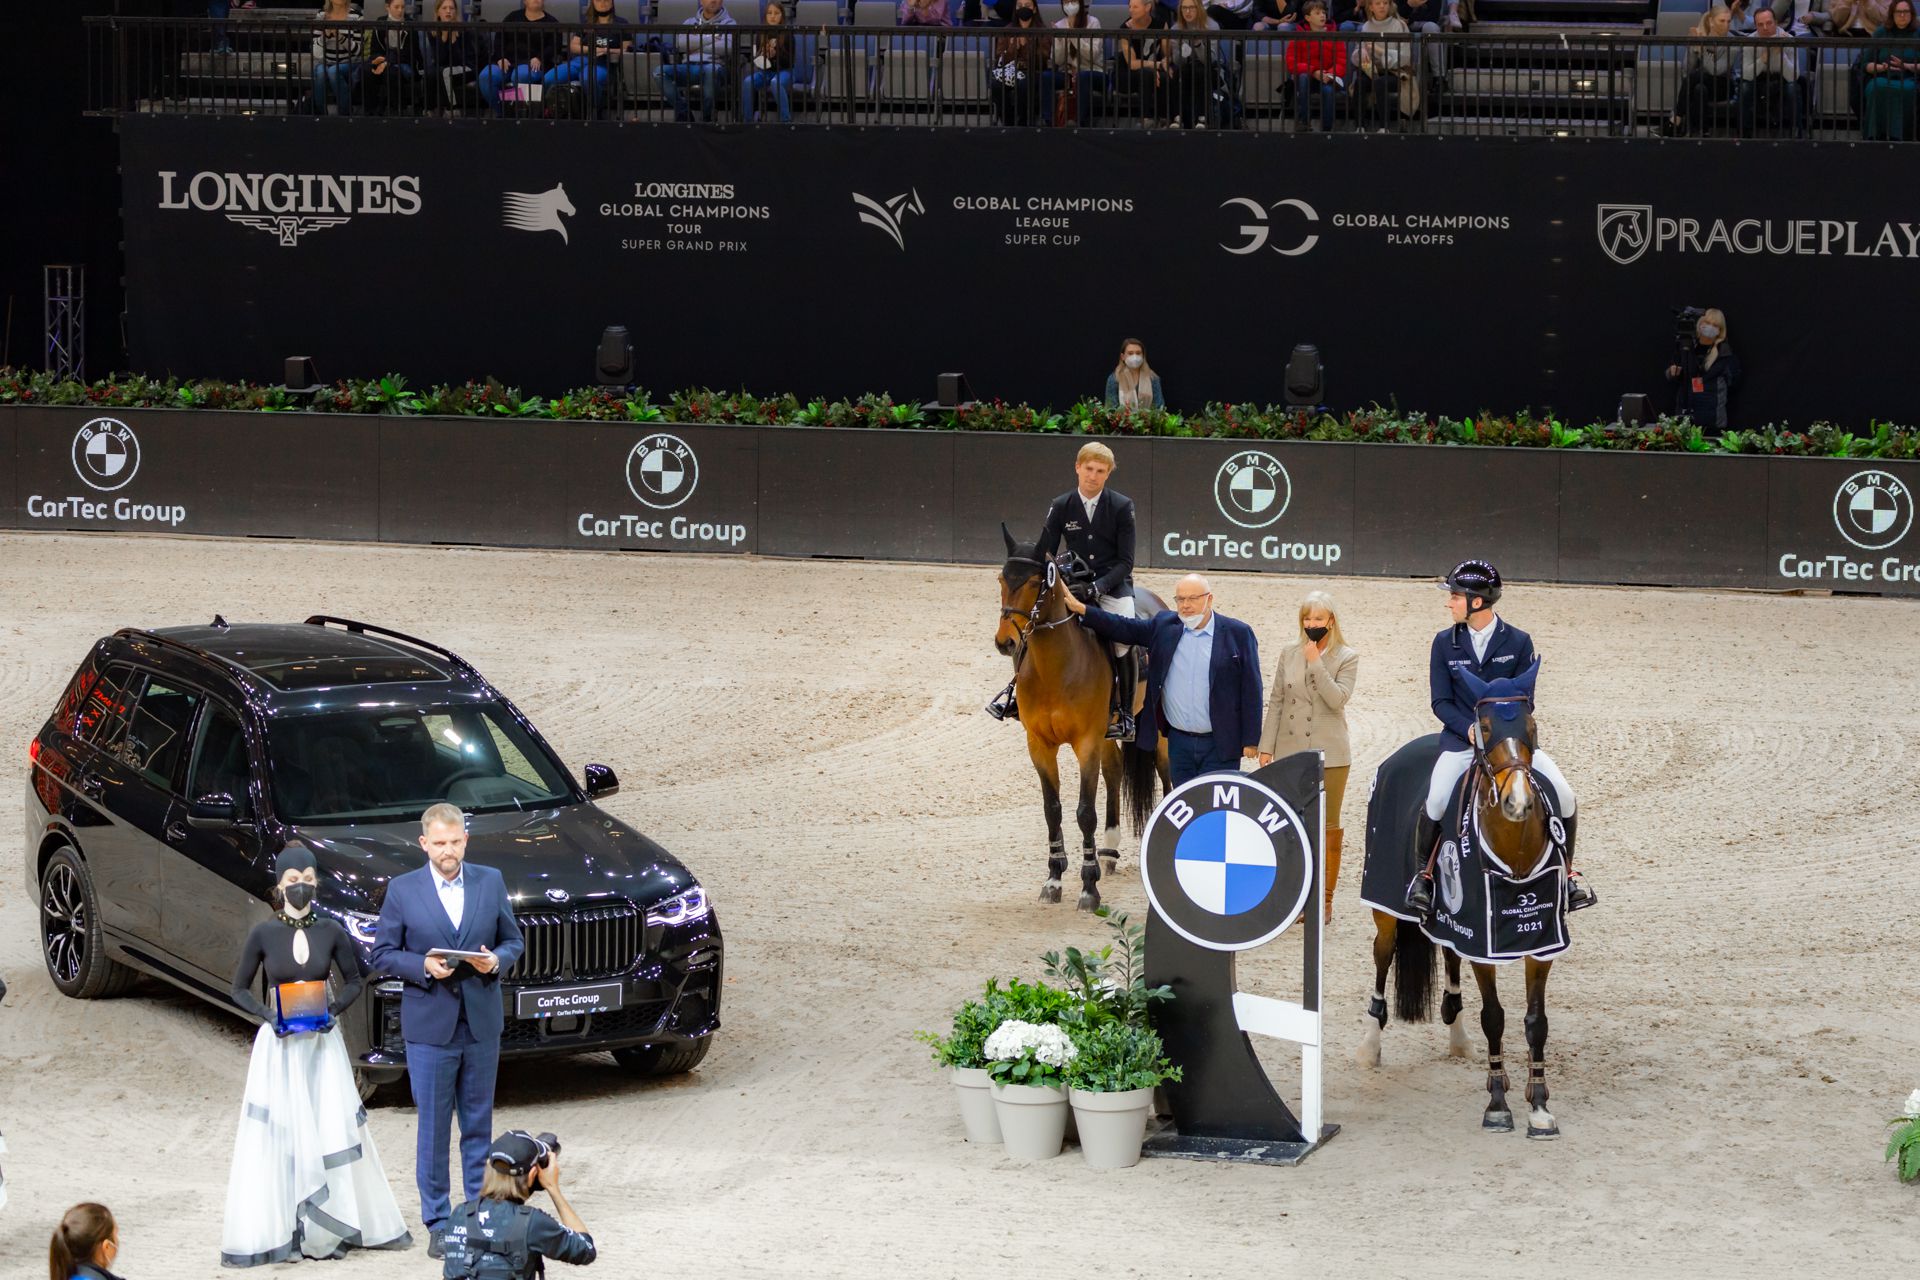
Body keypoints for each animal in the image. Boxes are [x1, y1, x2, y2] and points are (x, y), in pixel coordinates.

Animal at [994, 527, 1167, 910]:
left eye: (1034, 582)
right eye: (1001, 578)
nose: (1005, 642)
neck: (1056, 667)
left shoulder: (1085, 742)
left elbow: (1085, 811)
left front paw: (1089, 887)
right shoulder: (1039, 745)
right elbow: (1053, 809)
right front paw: (1054, 879)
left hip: (1160, 730)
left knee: (1168, 774)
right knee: (1115, 769)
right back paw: (1109, 852)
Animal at [1356, 660, 1572, 1139]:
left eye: (1531, 724)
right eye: (1485, 727)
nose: (1517, 802)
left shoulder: (1540, 941)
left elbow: (1536, 1023)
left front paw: (1539, 1106)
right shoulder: (1483, 948)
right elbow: (1494, 1017)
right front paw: (1498, 1106)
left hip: (1453, 924)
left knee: (1449, 953)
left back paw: (1457, 1035)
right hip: (1384, 907)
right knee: (1382, 956)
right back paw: (1370, 1045)